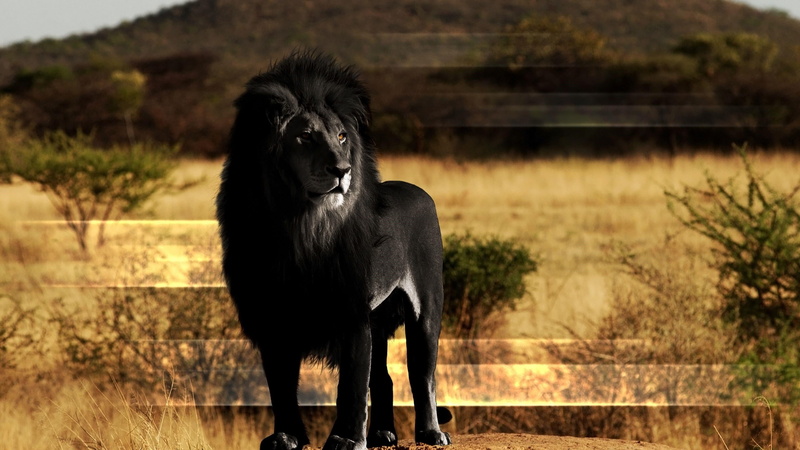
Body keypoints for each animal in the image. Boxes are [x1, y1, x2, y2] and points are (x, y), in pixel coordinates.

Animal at [216, 52, 452, 450]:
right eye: (305, 136)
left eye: (342, 136)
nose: (342, 170)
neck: (299, 226)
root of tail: (417, 189)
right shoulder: (271, 318)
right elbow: (281, 388)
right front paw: (287, 437)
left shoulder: (352, 312)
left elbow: (351, 386)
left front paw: (345, 440)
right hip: (379, 318)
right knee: (384, 378)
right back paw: (383, 435)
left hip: (426, 309)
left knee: (423, 374)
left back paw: (431, 433)